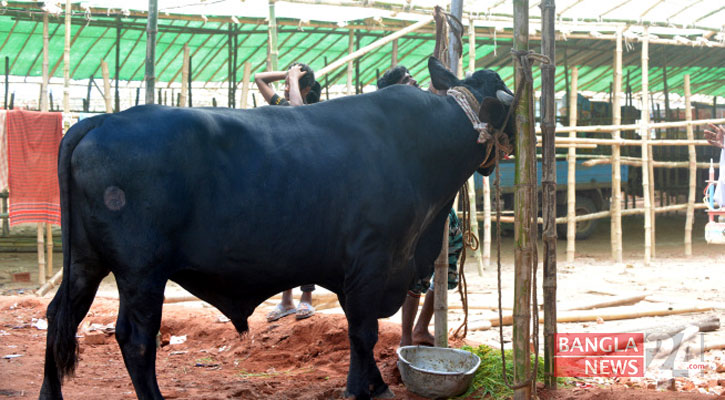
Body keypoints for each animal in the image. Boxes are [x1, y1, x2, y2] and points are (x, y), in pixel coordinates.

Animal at [42, 57, 516, 400]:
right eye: (511, 110)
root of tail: (103, 120)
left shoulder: (357, 272)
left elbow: (356, 333)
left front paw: (366, 385)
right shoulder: (372, 263)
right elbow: (363, 332)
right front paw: (369, 390)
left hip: (85, 261)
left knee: (59, 315)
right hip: (141, 270)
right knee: (136, 338)